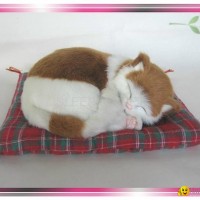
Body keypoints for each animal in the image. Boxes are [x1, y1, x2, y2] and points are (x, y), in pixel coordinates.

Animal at [21, 47, 180, 138]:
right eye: (129, 89)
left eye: (143, 108)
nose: (129, 105)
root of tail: (25, 99)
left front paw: (134, 119)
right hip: (88, 95)